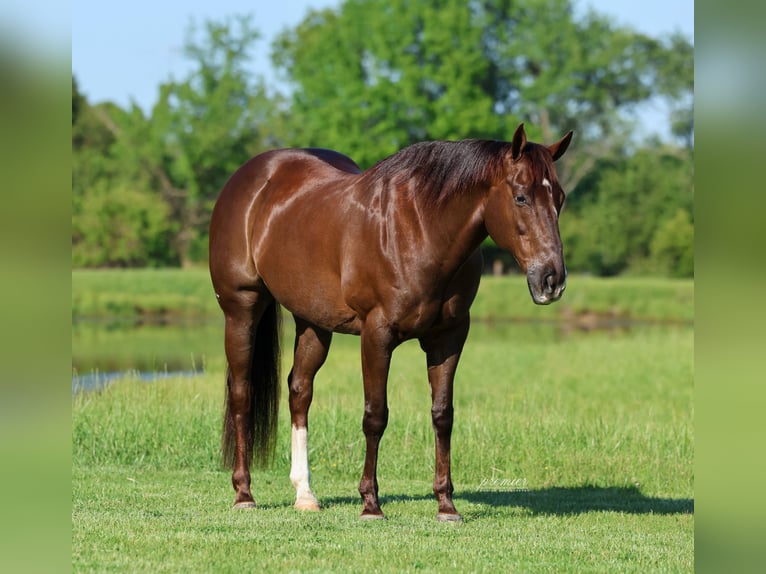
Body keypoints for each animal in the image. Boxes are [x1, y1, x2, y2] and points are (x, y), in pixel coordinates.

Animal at [209, 123, 573, 521]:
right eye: (521, 197)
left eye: (560, 198)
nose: (552, 280)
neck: (421, 229)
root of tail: (251, 177)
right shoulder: (376, 334)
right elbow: (375, 416)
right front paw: (371, 503)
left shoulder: (449, 337)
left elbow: (442, 415)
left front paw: (446, 504)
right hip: (241, 308)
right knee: (242, 393)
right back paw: (244, 493)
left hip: (313, 322)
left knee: (300, 392)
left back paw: (305, 493)